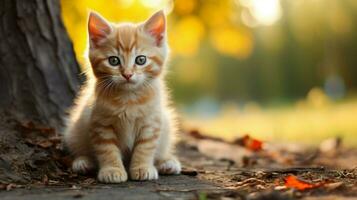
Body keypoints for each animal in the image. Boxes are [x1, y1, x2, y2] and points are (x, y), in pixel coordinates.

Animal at [63, 10, 181, 183]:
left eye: (141, 59)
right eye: (113, 60)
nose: (127, 74)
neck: (128, 99)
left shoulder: (151, 123)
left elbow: (145, 147)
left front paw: (142, 168)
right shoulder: (100, 124)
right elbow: (107, 149)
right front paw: (112, 170)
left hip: (166, 125)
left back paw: (167, 163)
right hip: (76, 128)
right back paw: (83, 162)